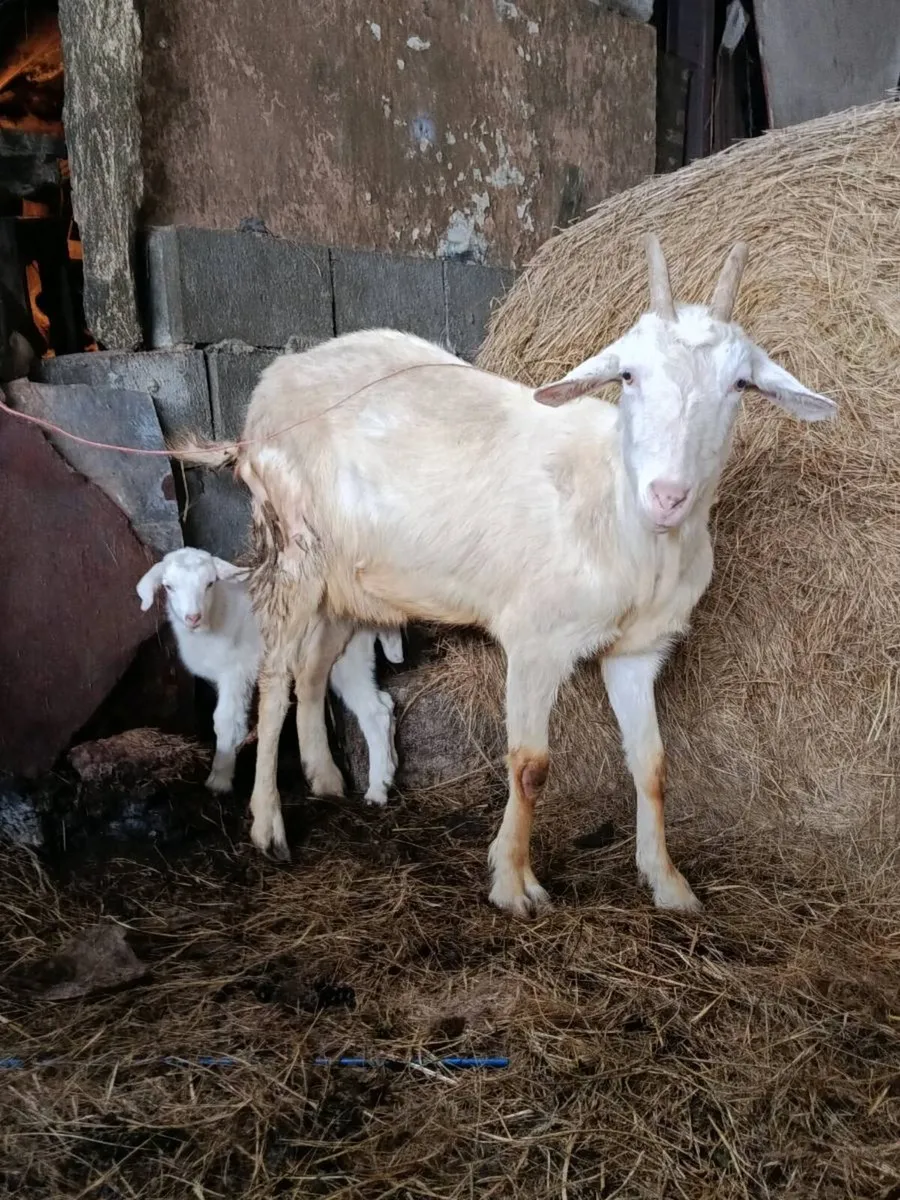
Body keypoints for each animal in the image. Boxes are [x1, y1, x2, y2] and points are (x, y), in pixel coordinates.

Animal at [136, 547, 404, 802]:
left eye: (210, 583)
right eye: (168, 586)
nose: (192, 617)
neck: (218, 614)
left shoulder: (236, 670)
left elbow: (226, 721)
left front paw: (219, 780)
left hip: (348, 656)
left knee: (374, 712)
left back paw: (375, 792)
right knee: (382, 705)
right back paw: (386, 777)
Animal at [172, 236, 836, 917]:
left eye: (740, 383)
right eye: (628, 375)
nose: (669, 496)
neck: (618, 512)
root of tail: (271, 386)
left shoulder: (638, 651)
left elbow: (653, 765)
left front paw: (669, 883)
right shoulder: (537, 639)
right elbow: (530, 765)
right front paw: (514, 883)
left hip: (345, 586)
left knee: (310, 671)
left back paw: (327, 779)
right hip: (293, 550)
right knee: (275, 679)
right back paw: (268, 826)